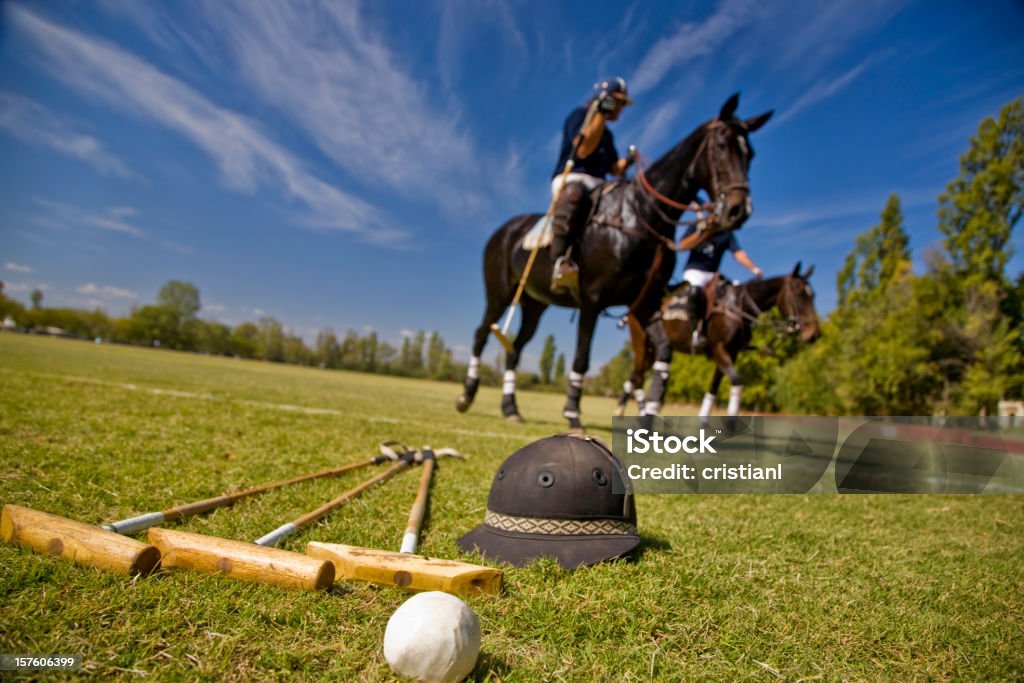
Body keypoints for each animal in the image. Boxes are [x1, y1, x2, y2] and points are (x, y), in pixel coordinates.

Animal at [454, 94, 770, 430]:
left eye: (751, 154)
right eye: (722, 145)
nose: (739, 209)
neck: (642, 216)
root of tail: (503, 230)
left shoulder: (645, 304)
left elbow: (664, 355)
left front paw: (649, 415)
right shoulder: (592, 299)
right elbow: (582, 357)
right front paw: (573, 414)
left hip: (535, 303)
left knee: (515, 349)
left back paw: (511, 408)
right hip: (500, 290)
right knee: (482, 334)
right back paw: (466, 396)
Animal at [610, 264, 819, 419]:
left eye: (813, 295)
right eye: (800, 294)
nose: (815, 334)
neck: (738, 308)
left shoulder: (731, 352)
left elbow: (715, 386)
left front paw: (704, 419)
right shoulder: (719, 348)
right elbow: (736, 380)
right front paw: (730, 422)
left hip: (652, 350)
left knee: (634, 376)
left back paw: (628, 411)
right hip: (641, 343)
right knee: (637, 377)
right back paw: (636, 411)